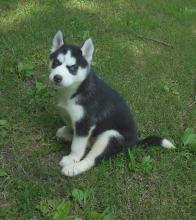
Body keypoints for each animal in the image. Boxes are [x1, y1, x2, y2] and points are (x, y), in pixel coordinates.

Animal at [49, 30, 175, 177]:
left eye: (73, 68)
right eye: (56, 62)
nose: (57, 78)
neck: (75, 90)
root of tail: (135, 141)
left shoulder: (86, 123)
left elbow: (77, 146)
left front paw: (72, 159)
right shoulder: (76, 121)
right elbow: (70, 130)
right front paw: (67, 133)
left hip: (111, 136)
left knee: (93, 159)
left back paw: (74, 169)